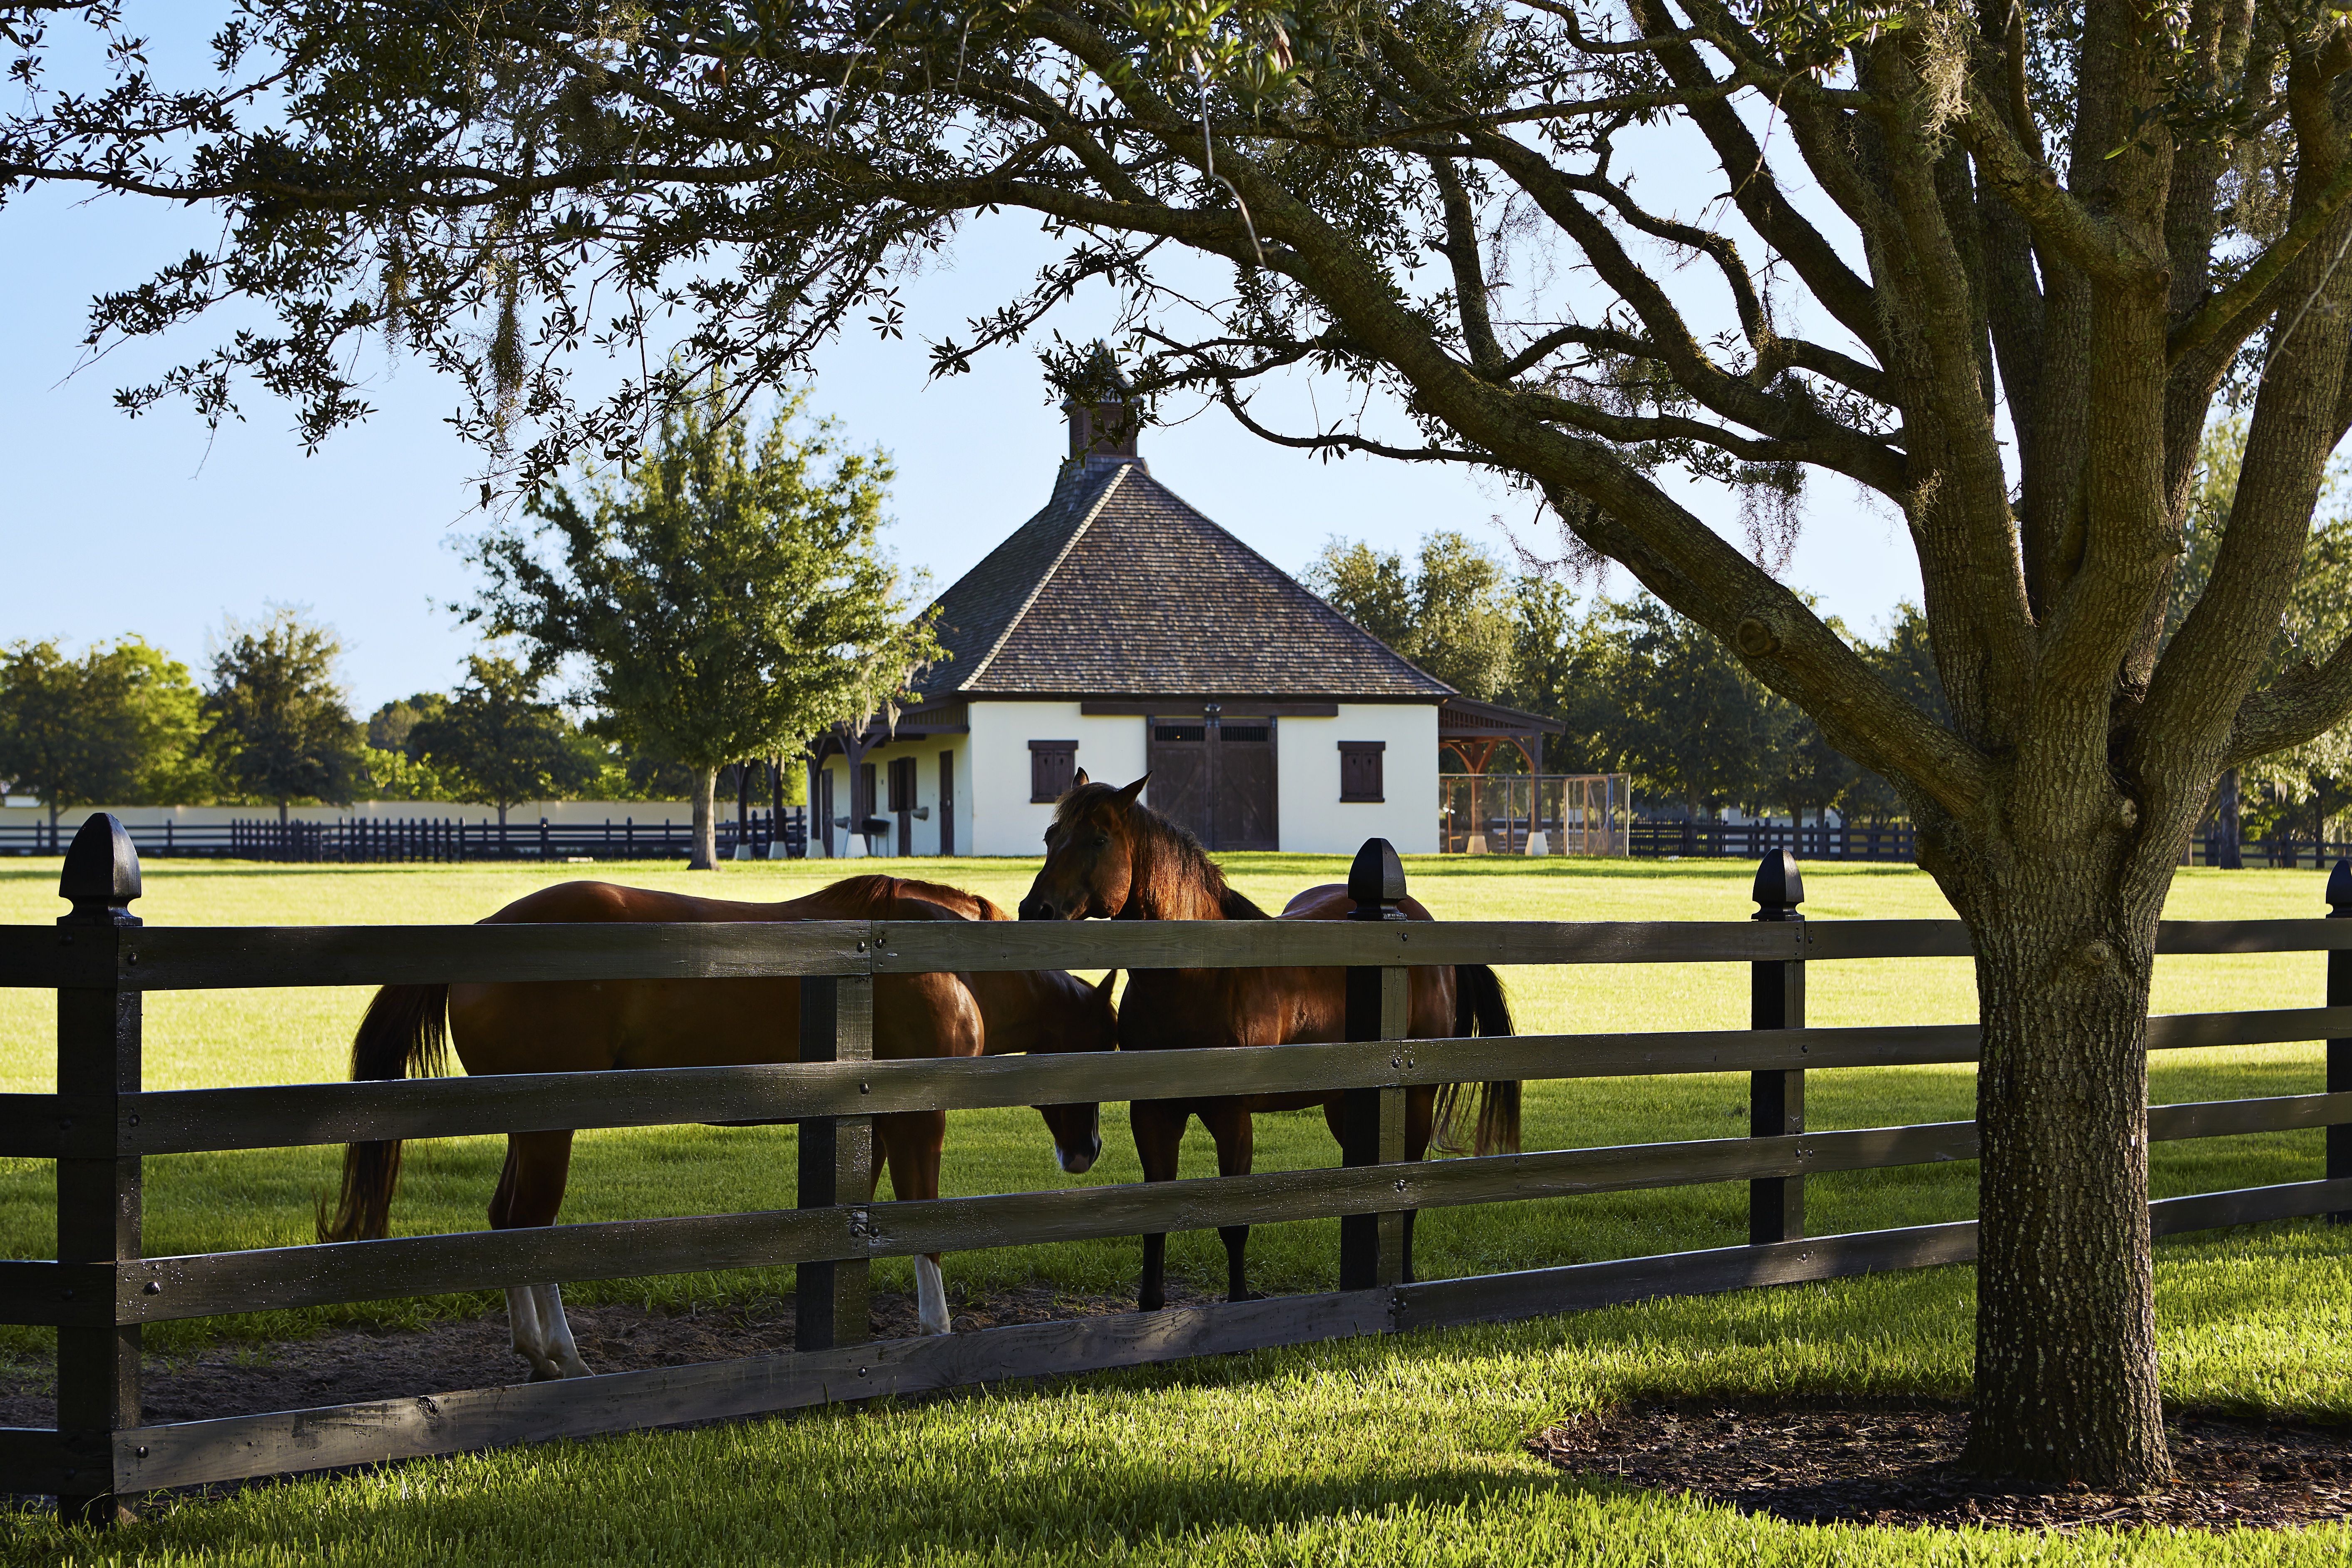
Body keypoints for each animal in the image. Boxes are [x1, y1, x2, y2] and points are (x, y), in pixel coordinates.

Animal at [324, 879, 1119, 1382]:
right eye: (1104, 1041)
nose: (1086, 1150)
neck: (954, 962)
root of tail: (484, 936)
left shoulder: (864, 1116)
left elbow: (857, 1218)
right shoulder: (918, 1114)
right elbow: (922, 1220)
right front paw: (936, 1332)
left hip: (529, 1126)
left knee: (504, 1222)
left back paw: (539, 1355)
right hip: (551, 1126)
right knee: (530, 1223)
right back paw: (565, 1356)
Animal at [1021, 776, 1515, 1316]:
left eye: (1098, 840)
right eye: (1049, 838)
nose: (1033, 910)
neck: (1197, 978)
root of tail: (1416, 921)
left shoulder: (1233, 1117)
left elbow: (1235, 1224)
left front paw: (1239, 1301)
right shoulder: (1151, 1114)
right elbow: (1154, 1216)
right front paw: (1149, 1306)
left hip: (1416, 1099)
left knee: (1406, 1189)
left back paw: (1401, 1280)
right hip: (1346, 1106)